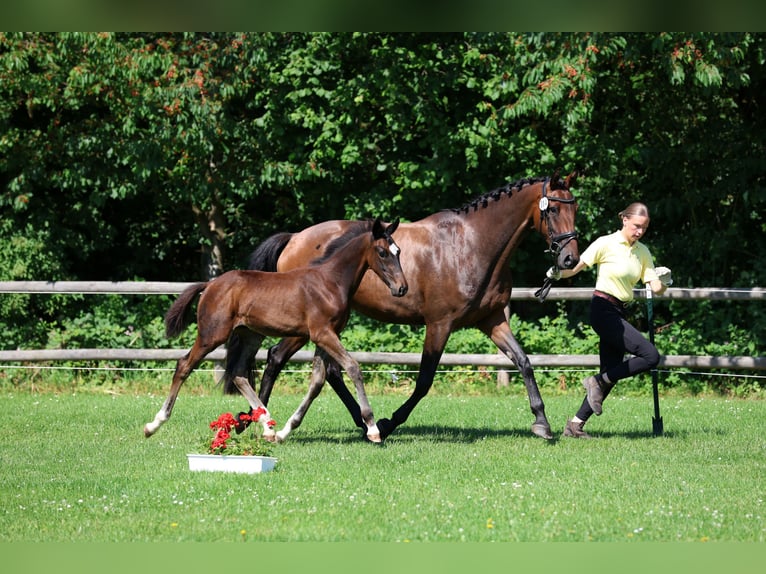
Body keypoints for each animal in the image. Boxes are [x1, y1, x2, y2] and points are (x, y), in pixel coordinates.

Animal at [143, 218, 407, 443]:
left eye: (399, 252)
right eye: (382, 252)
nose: (402, 288)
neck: (330, 282)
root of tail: (210, 285)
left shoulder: (326, 336)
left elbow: (317, 381)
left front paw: (285, 431)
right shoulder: (323, 334)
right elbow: (353, 367)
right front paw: (372, 428)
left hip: (250, 335)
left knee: (238, 374)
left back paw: (267, 426)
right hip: (212, 335)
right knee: (184, 365)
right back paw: (154, 424)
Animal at [244, 172, 580, 441]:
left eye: (574, 207)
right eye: (553, 208)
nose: (569, 259)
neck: (471, 245)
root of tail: (294, 238)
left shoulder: (492, 320)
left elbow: (524, 361)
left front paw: (541, 422)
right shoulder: (440, 324)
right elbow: (424, 381)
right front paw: (388, 423)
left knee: (329, 370)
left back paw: (355, 421)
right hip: (306, 325)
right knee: (277, 357)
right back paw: (257, 420)